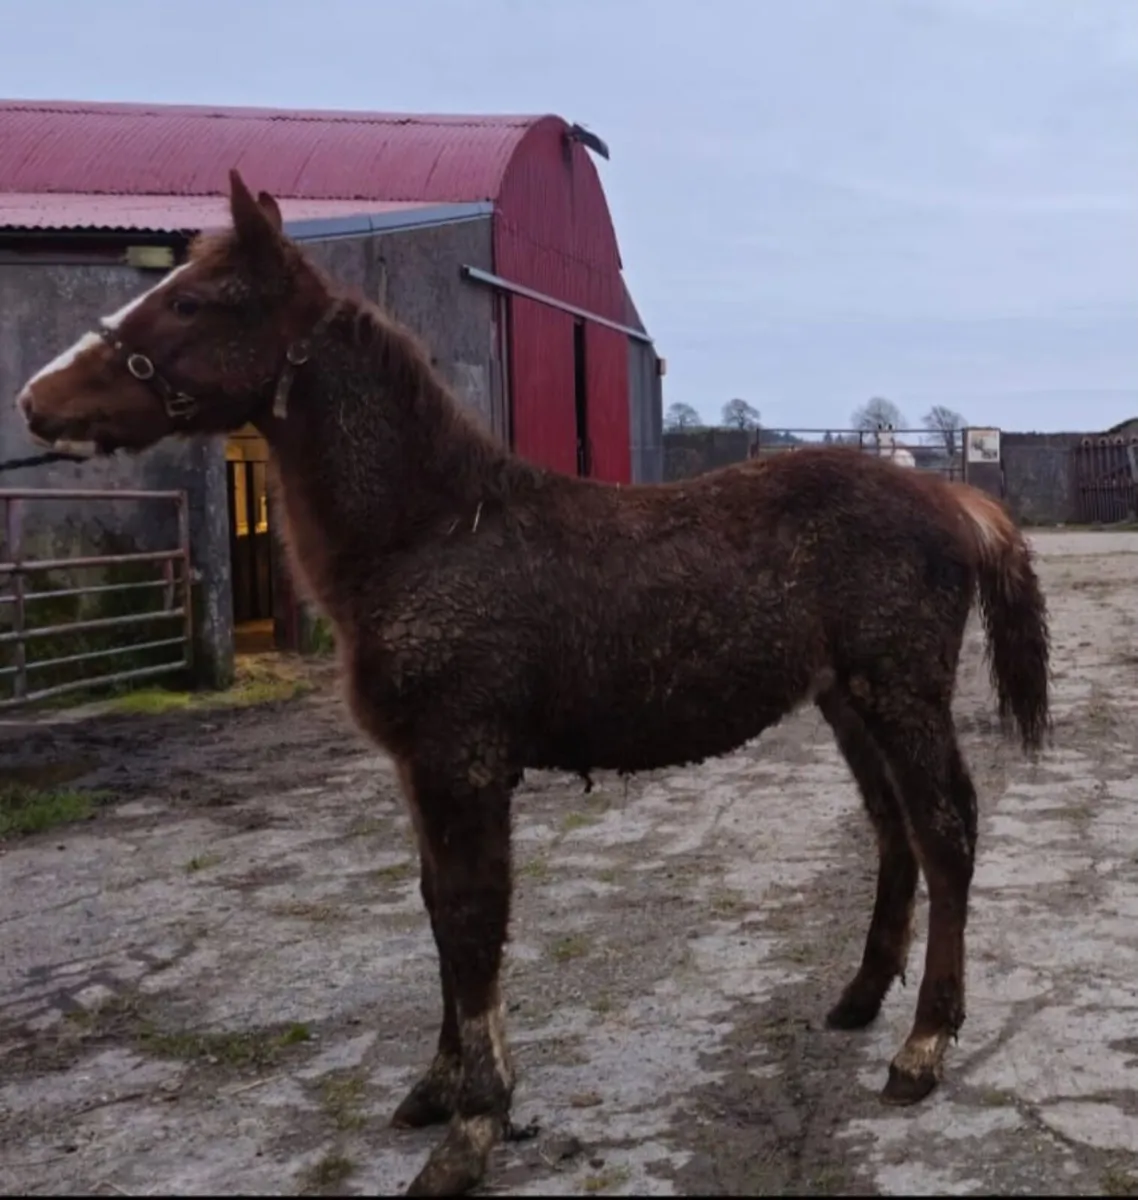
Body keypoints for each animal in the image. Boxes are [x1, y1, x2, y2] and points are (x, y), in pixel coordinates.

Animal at [14, 170, 1051, 1197]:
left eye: (192, 301)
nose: (35, 400)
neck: (432, 530)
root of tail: (954, 496)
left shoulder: (463, 760)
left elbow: (475, 922)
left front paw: (473, 1127)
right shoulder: (421, 768)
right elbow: (439, 908)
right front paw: (437, 1089)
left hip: (900, 690)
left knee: (946, 831)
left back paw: (923, 1047)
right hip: (846, 699)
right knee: (894, 830)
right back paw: (861, 999)